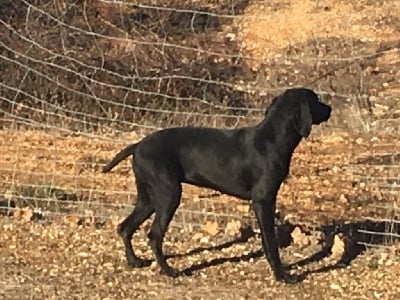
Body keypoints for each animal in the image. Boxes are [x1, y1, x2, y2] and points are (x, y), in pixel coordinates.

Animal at [102, 87, 332, 284]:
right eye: (316, 100)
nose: (329, 108)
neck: (272, 139)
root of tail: (138, 145)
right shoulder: (263, 200)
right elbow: (271, 243)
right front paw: (282, 276)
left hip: (149, 198)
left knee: (125, 227)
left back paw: (134, 261)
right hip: (168, 196)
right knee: (154, 235)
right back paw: (169, 271)